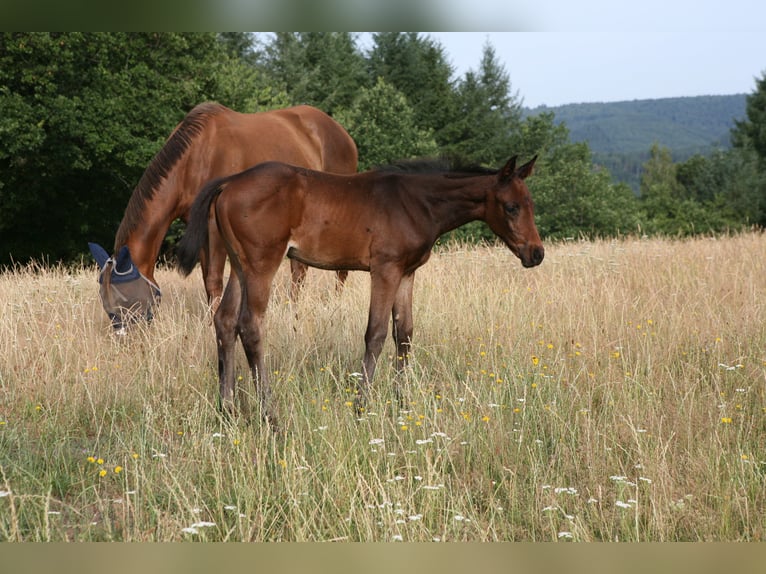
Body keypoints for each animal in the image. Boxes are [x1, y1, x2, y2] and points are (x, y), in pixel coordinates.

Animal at [89, 102, 358, 332]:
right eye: (103, 298)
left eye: (126, 297)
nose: (124, 336)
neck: (197, 156)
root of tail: (341, 133)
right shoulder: (198, 227)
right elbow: (208, 279)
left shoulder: (213, 227)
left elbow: (214, 279)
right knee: (299, 272)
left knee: (339, 271)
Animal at [176, 155, 544, 431]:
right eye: (511, 207)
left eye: (531, 204)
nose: (536, 254)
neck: (416, 203)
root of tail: (229, 183)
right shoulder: (385, 269)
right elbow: (376, 333)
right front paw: (361, 407)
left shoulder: (406, 272)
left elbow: (404, 334)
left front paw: (403, 405)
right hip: (261, 263)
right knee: (250, 325)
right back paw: (271, 415)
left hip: (240, 266)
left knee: (224, 321)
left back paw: (227, 410)